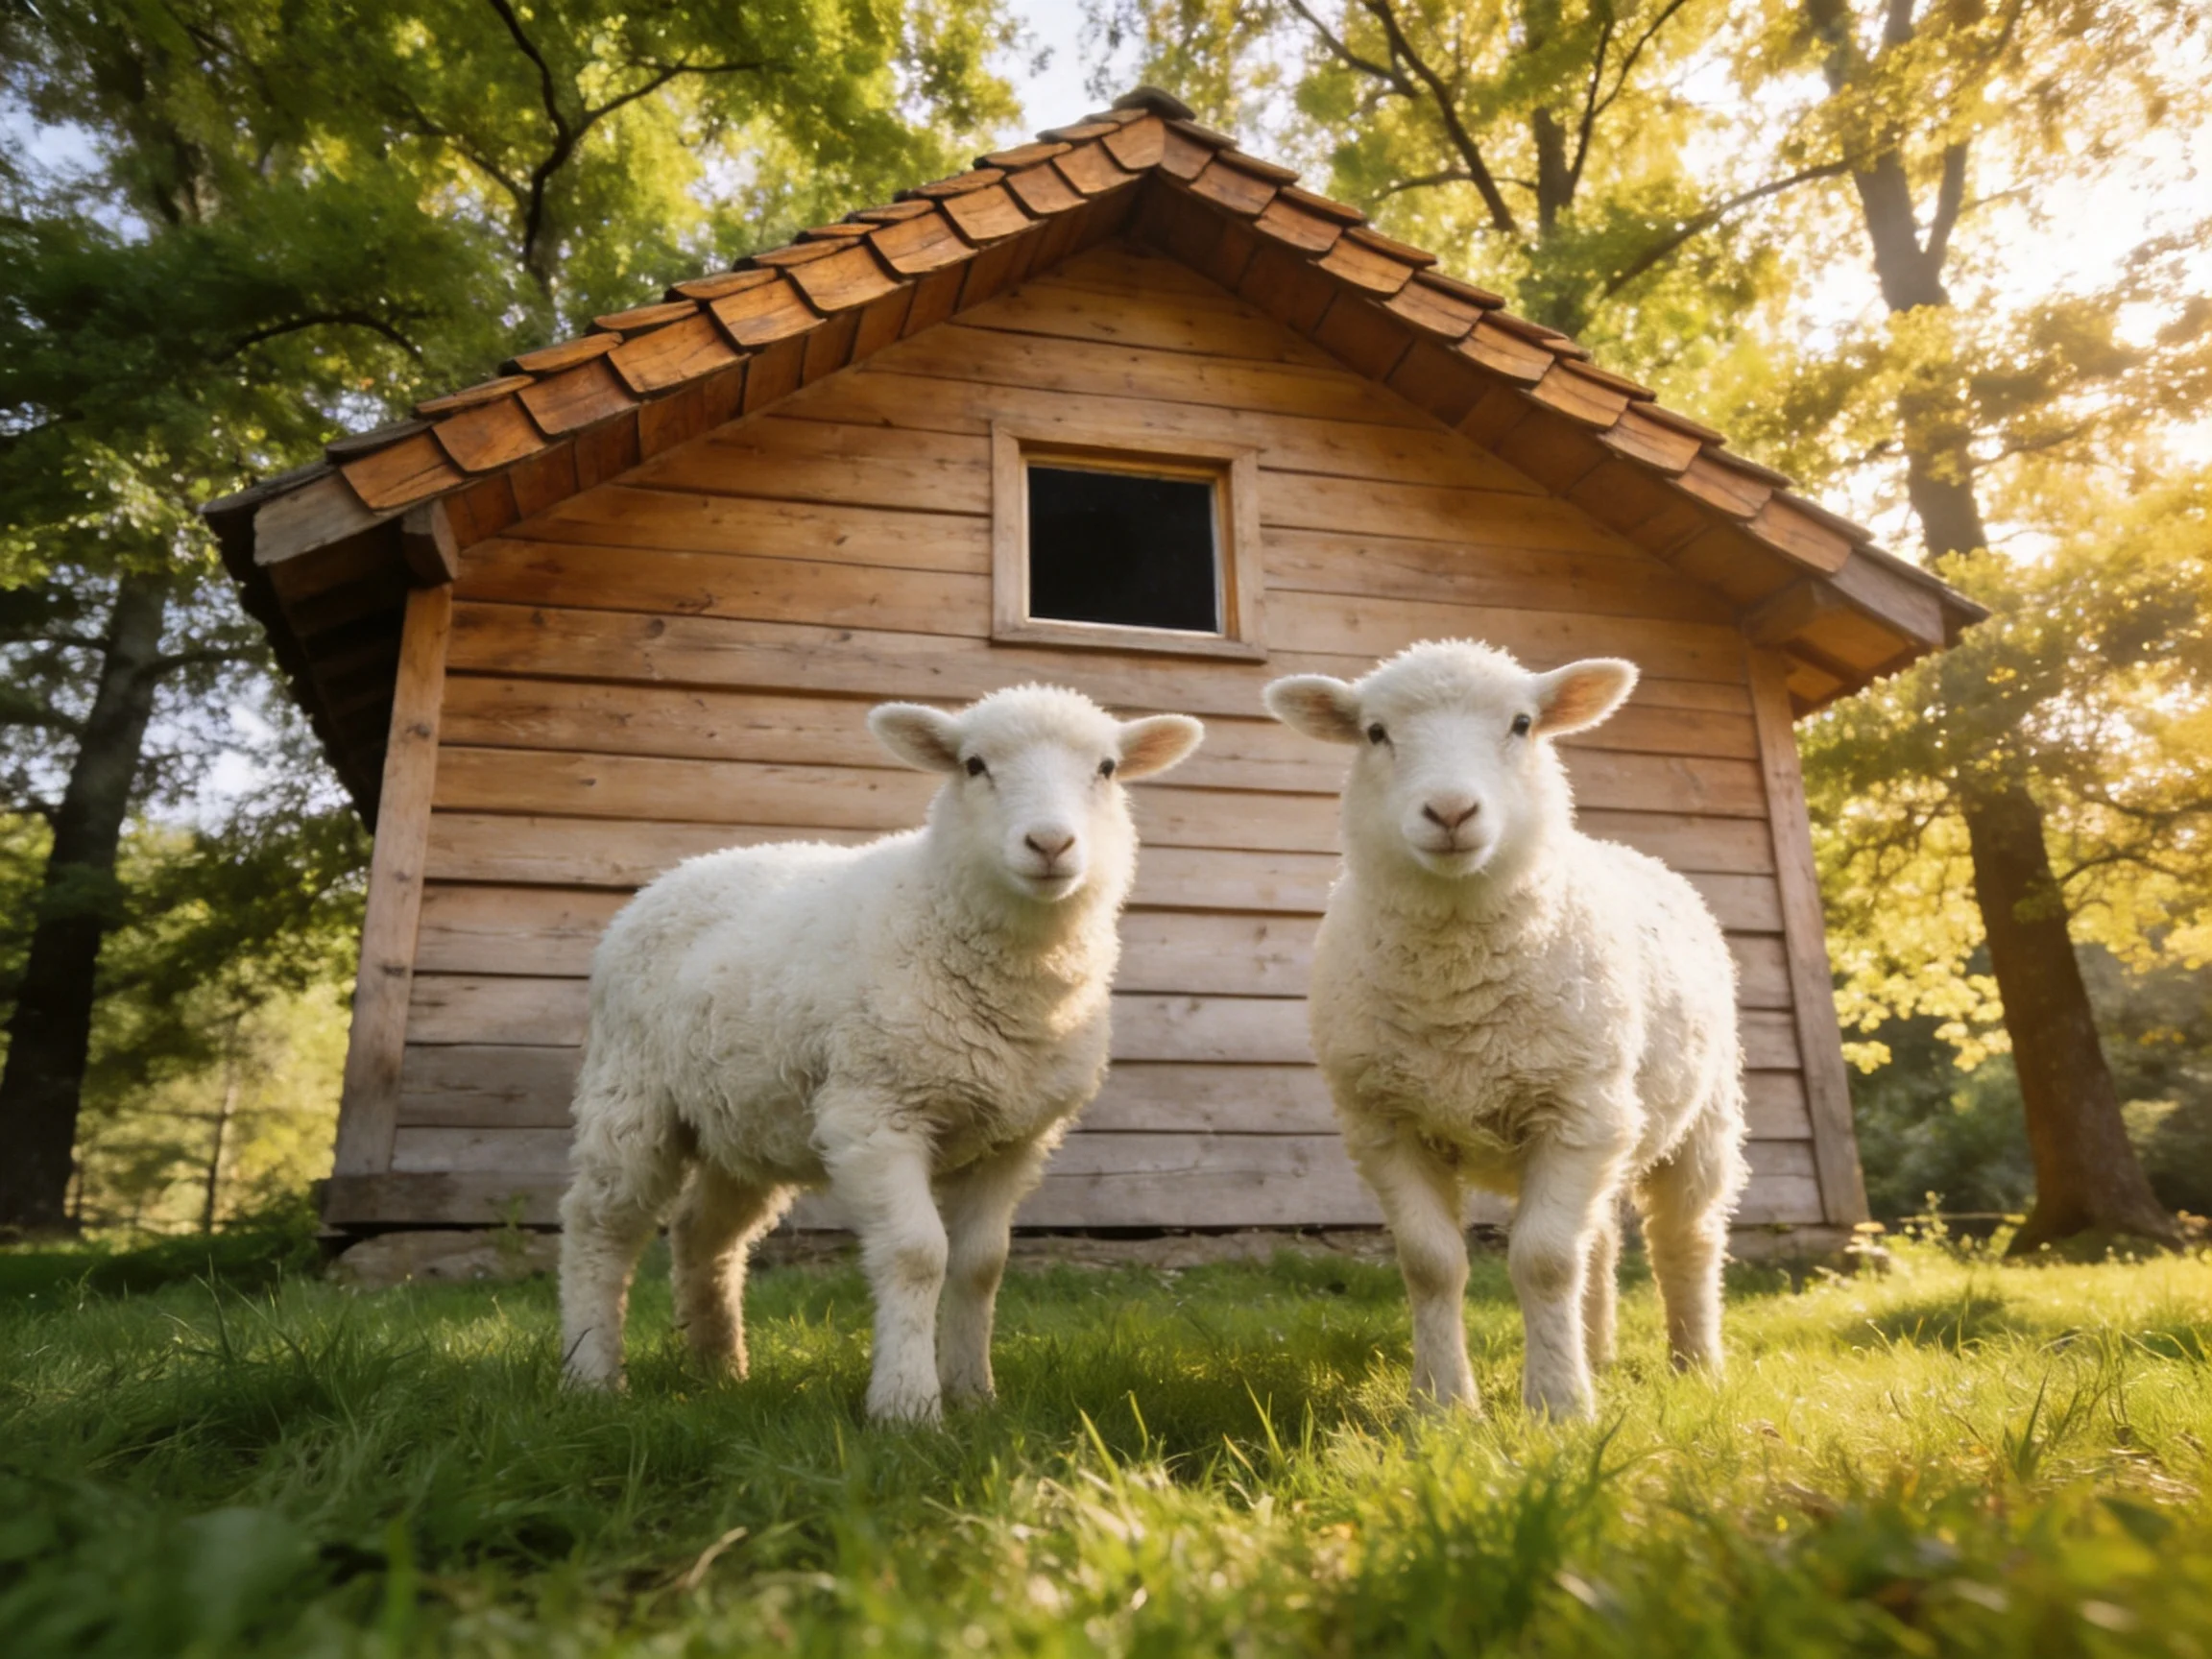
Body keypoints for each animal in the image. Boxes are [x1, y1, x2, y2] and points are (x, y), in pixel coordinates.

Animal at [558, 685, 1203, 1422]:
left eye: (1106, 769)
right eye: (974, 765)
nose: (1050, 843)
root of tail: (676, 873)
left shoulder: (1013, 1139)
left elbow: (982, 1264)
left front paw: (975, 1395)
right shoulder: (878, 1112)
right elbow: (916, 1254)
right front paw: (907, 1405)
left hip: (743, 1119)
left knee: (703, 1234)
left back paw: (719, 1371)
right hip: (631, 1095)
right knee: (599, 1226)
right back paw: (590, 1375)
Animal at [1263, 641, 1747, 1419]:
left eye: (1522, 724)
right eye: (1375, 732)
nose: (1451, 810)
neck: (1457, 995)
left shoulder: (1577, 1110)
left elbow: (1544, 1261)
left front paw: (1557, 1407)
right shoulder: (1384, 1122)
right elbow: (1432, 1265)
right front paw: (1441, 1406)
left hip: (1701, 1118)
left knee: (1687, 1238)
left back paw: (1694, 1365)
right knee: (1599, 1241)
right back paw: (1597, 1353)